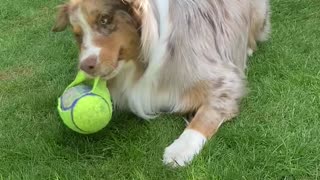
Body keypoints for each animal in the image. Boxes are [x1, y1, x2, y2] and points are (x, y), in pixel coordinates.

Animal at [52, 0, 270, 167]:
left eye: (105, 20)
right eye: (77, 34)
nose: (85, 66)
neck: (140, 64)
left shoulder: (225, 81)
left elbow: (204, 117)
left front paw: (180, 149)